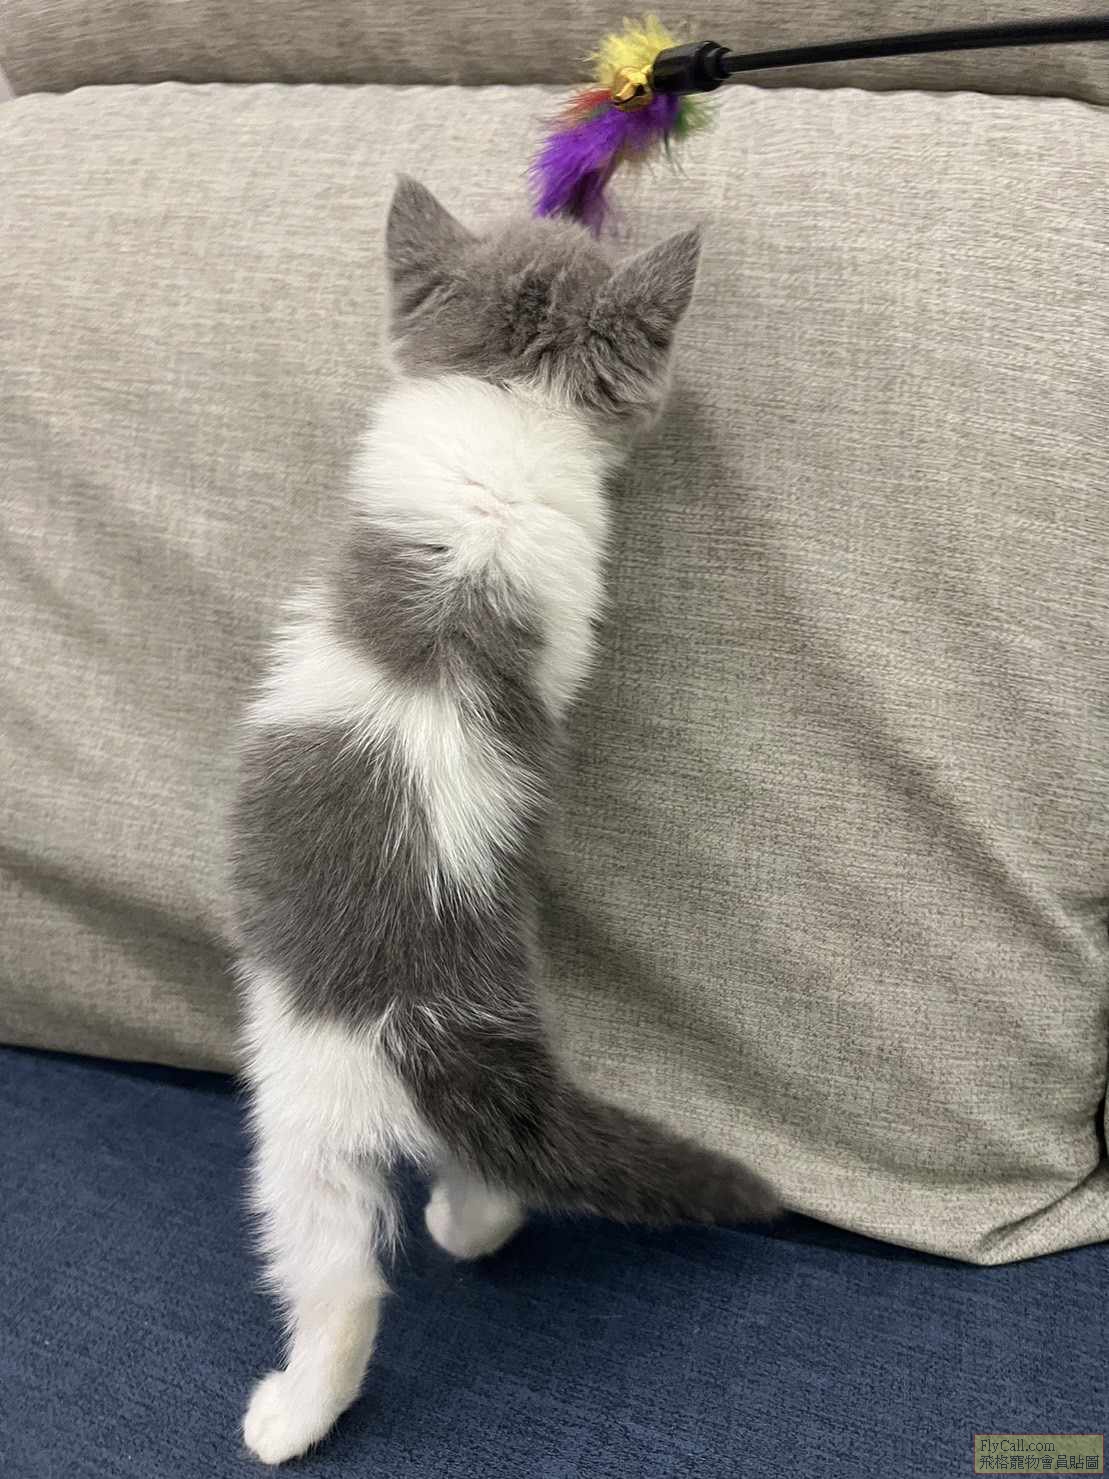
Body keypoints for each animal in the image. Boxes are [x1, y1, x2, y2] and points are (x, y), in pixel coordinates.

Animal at [229, 176, 779, 1466]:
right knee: (489, 1173)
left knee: (340, 1271)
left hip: (307, 1110)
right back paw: (469, 1224)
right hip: (473, 1086)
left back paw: (294, 1412)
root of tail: (444, 1029)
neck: (514, 406)